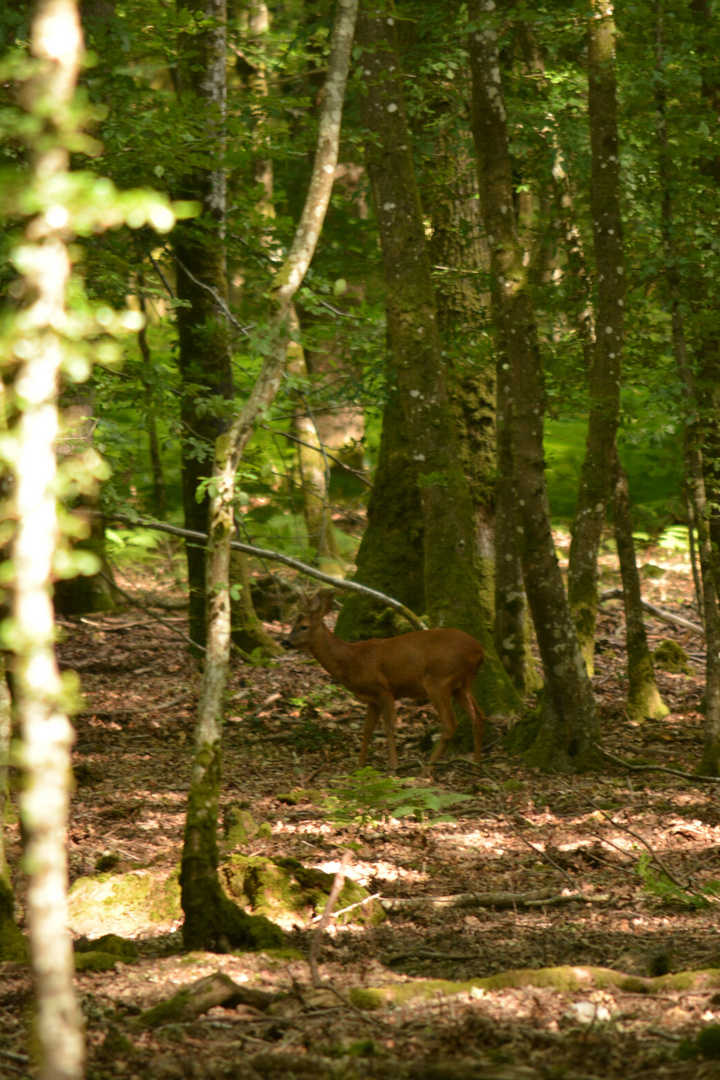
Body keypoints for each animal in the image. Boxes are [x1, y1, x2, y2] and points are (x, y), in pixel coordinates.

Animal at [280, 591, 483, 768]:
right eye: (293, 625)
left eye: (303, 626)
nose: (284, 642)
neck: (352, 659)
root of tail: (479, 650)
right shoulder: (372, 699)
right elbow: (367, 729)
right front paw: (359, 765)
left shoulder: (384, 690)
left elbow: (389, 727)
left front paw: (393, 765)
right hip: (462, 684)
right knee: (478, 716)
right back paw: (475, 765)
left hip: (438, 680)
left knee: (450, 723)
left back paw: (428, 770)